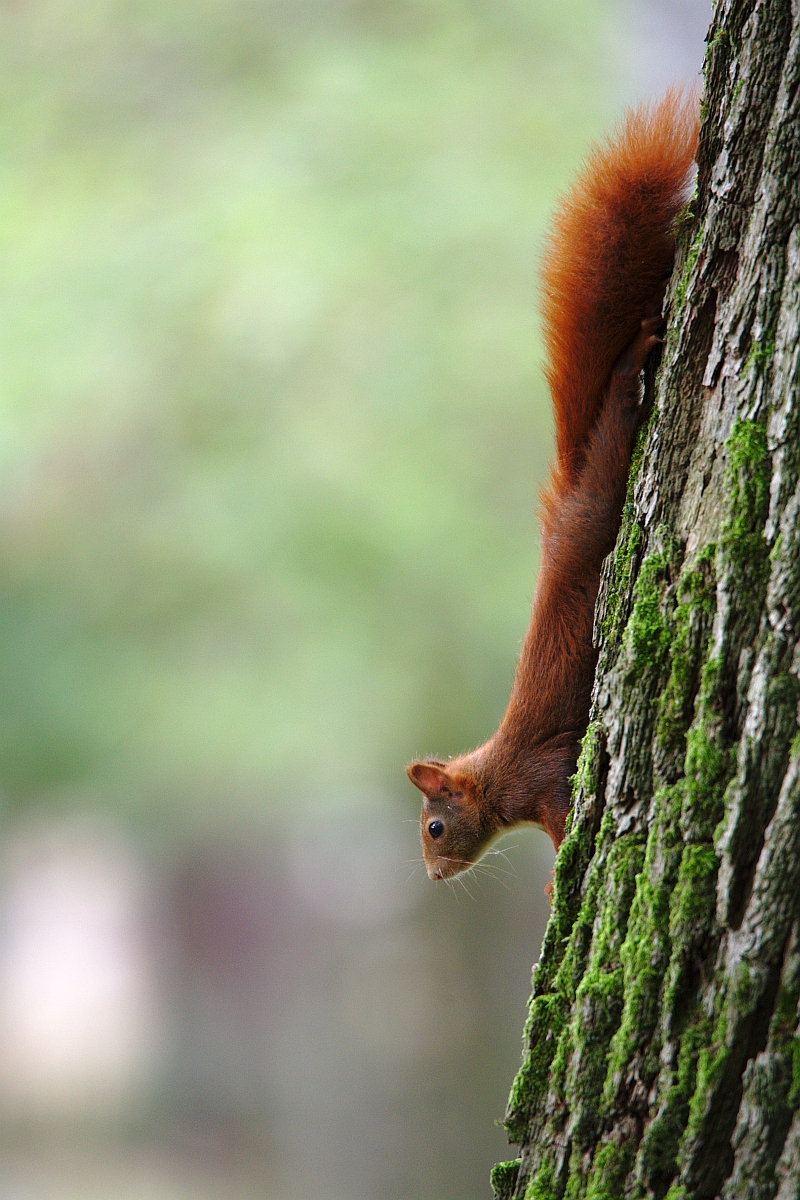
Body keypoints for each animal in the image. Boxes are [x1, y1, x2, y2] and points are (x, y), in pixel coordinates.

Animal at [406, 90, 699, 883]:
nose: (433, 875)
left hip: (598, 500)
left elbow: (566, 821)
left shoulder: (544, 776)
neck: (495, 779)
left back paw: (631, 363)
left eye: (435, 826)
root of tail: (563, 508)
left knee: (616, 419)